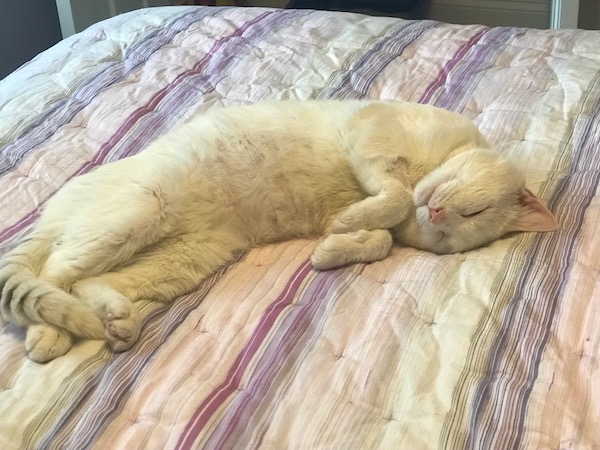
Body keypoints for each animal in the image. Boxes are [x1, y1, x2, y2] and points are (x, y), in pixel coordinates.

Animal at [0, 99, 556, 362]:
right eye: (475, 210)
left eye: (455, 232)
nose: (438, 215)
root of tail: (54, 206)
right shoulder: (370, 133)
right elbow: (393, 195)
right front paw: (353, 223)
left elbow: (379, 240)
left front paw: (334, 247)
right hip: (137, 213)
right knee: (54, 273)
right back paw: (49, 334)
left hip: (184, 259)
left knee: (89, 283)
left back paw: (115, 321)